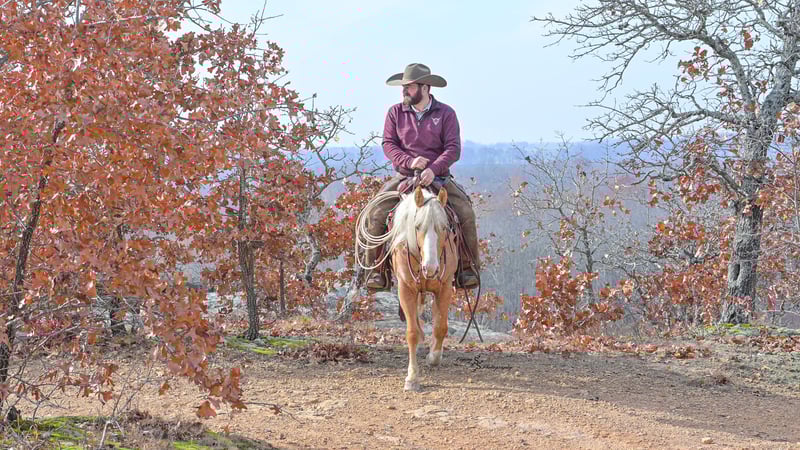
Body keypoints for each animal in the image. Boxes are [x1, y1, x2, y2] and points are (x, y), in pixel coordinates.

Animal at [356, 184, 458, 391]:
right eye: (417, 226)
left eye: (444, 227)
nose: (431, 268)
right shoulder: (406, 289)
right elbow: (411, 333)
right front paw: (412, 378)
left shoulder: (444, 288)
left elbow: (441, 327)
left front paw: (434, 357)